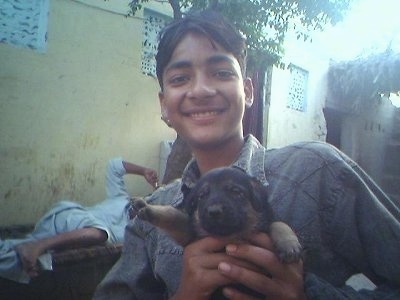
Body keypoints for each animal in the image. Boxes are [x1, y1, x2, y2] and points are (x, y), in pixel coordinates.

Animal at [133, 168, 302, 264]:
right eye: (202, 196)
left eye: (235, 192)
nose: (214, 211)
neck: (230, 235)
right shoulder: (189, 234)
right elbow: (173, 215)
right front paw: (149, 208)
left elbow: (280, 224)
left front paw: (289, 245)